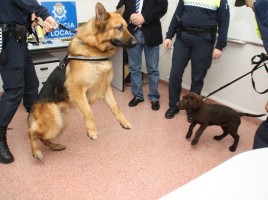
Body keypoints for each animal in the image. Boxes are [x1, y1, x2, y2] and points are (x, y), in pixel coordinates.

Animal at [27, 2, 137, 159]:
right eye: (119, 28)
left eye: (127, 26)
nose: (136, 42)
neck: (94, 50)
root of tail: (32, 109)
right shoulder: (77, 90)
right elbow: (88, 111)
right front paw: (92, 131)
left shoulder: (106, 89)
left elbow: (116, 107)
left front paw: (124, 121)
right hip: (54, 123)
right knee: (32, 133)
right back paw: (36, 151)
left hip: (61, 123)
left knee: (44, 138)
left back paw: (55, 146)